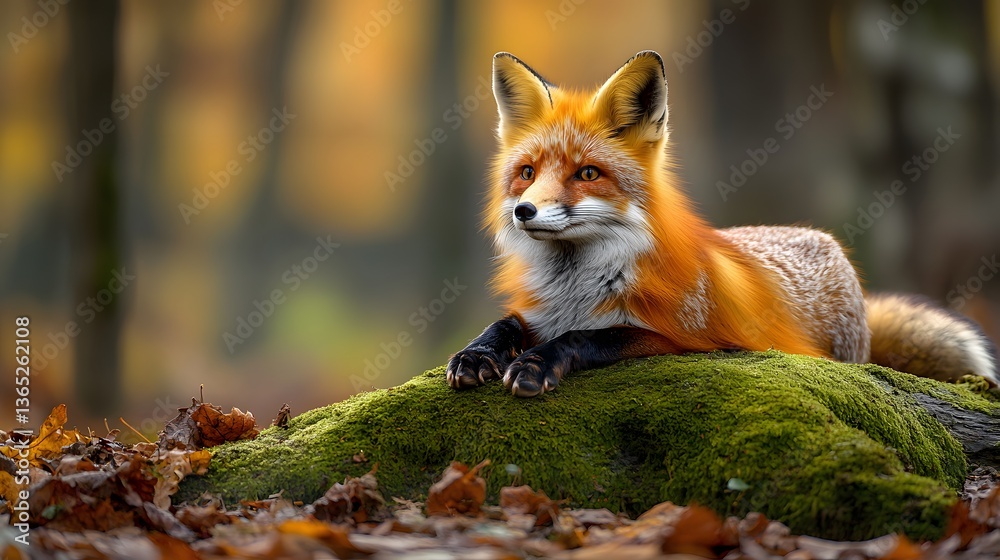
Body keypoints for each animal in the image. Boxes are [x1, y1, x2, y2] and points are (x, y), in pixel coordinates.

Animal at [447, 50, 998, 398]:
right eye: (527, 173)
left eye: (587, 174)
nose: (524, 212)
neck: (577, 287)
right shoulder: (540, 313)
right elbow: (505, 323)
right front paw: (476, 354)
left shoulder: (677, 337)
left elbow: (586, 338)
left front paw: (536, 364)